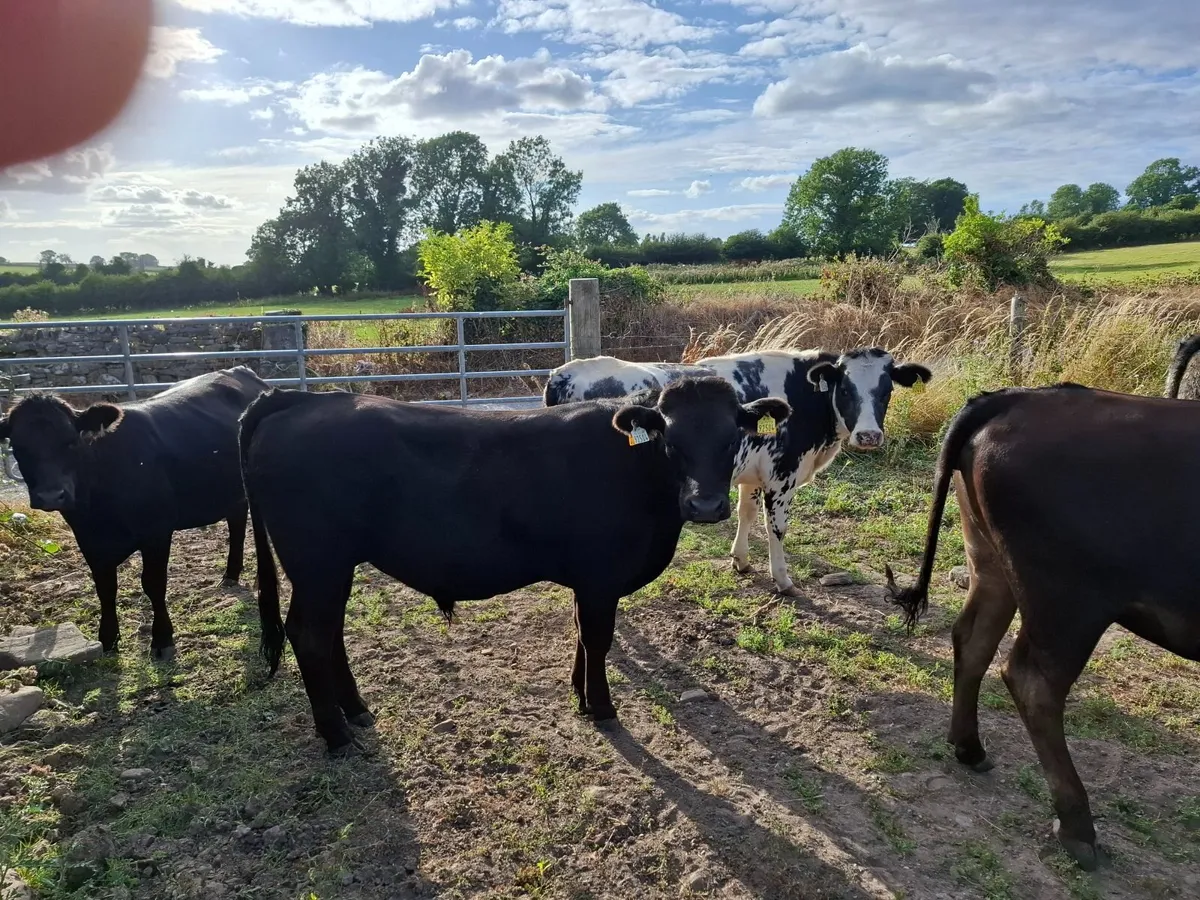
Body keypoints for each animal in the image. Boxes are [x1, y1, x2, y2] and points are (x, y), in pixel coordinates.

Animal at [0, 366, 269, 659]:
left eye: (71, 442)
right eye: (17, 447)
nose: (50, 495)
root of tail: (239, 370)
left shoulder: (156, 531)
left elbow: (153, 583)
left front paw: (162, 639)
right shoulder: (89, 540)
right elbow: (105, 588)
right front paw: (108, 639)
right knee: (237, 522)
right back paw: (230, 576)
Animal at [238, 377, 791, 754]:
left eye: (731, 438)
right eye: (671, 442)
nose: (705, 506)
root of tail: (304, 398)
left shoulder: (587, 579)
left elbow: (581, 634)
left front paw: (579, 693)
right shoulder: (601, 577)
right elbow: (598, 638)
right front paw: (602, 707)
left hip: (331, 567)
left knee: (326, 631)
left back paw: (355, 710)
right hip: (318, 563)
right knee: (310, 635)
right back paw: (336, 734)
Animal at [885, 383, 1200, 871]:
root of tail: (1017, 396)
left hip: (991, 562)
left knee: (973, 639)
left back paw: (969, 748)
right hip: (1069, 603)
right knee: (1033, 682)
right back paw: (1077, 828)